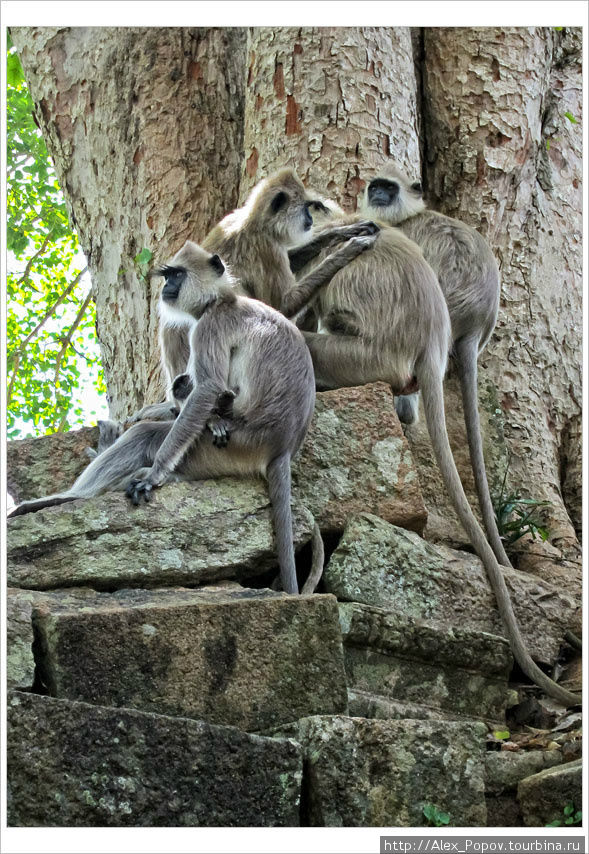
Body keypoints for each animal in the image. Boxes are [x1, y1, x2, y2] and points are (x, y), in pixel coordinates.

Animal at [8, 241, 336, 600]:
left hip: (233, 448)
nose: (166, 287)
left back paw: (71, 496)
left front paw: (155, 473)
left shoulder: (210, 326)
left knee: (148, 435)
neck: (222, 300)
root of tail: (283, 447)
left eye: (176, 275)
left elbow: (207, 387)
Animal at [128, 167, 376, 424]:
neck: (253, 221)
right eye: (306, 208)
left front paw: (343, 232)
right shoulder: (267, 247)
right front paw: (346, 251)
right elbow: (281, 305)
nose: (309, 219)